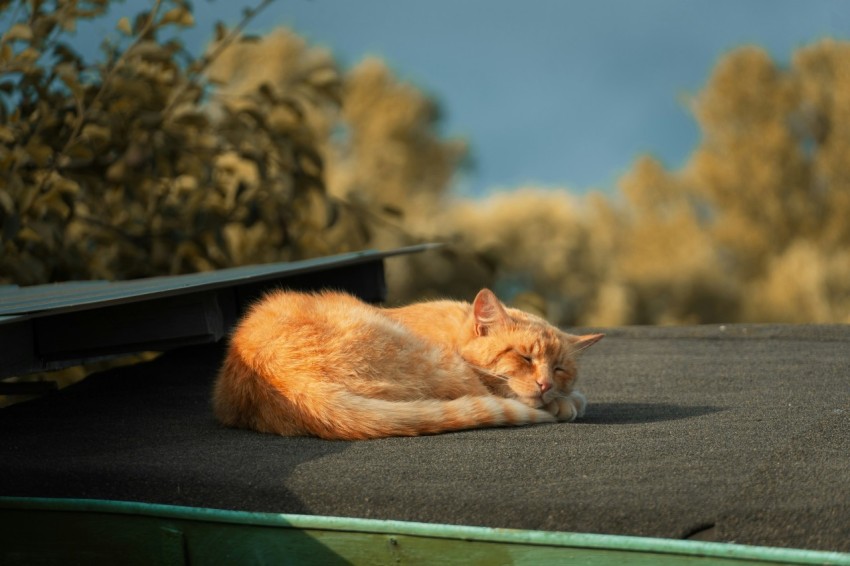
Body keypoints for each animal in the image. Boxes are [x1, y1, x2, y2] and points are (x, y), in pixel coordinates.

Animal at [212, 290, 600, 442]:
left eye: (560, 369)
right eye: (524, 357)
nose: (546, 384)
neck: (452, 329)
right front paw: (568, 402)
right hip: (437, 366)